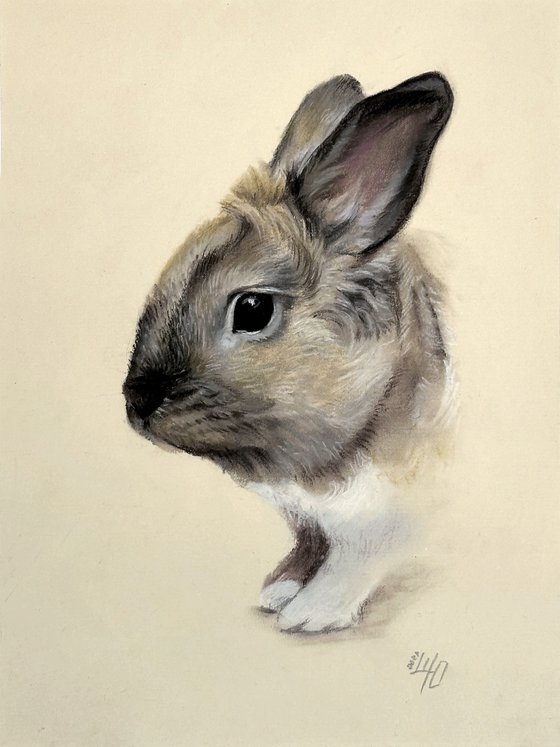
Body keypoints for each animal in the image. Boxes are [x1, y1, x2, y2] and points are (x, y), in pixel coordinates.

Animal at [123, 72, 455, 633]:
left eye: (253, 309)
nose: (137, 401)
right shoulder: (314, 523)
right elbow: (311, 544)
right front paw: (281, 589)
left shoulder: (382, 519)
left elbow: (353, 559)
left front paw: (310, 613)